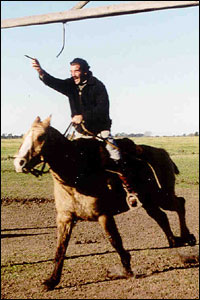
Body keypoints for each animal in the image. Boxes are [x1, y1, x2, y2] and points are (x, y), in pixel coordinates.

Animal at [13, 115, 195, 290]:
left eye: (41, 137)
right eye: (24, 136)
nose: (19, 163)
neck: (77, 174)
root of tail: (163, 152)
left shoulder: (104, 215)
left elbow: (115, 240)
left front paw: (128, 270)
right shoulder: (65, 218)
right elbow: (60, 249)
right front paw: (51, 281)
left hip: (162, 195)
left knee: (180, 203)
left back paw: (187, 237)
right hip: (149, 201)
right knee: (161, 217)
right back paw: (174, 241)